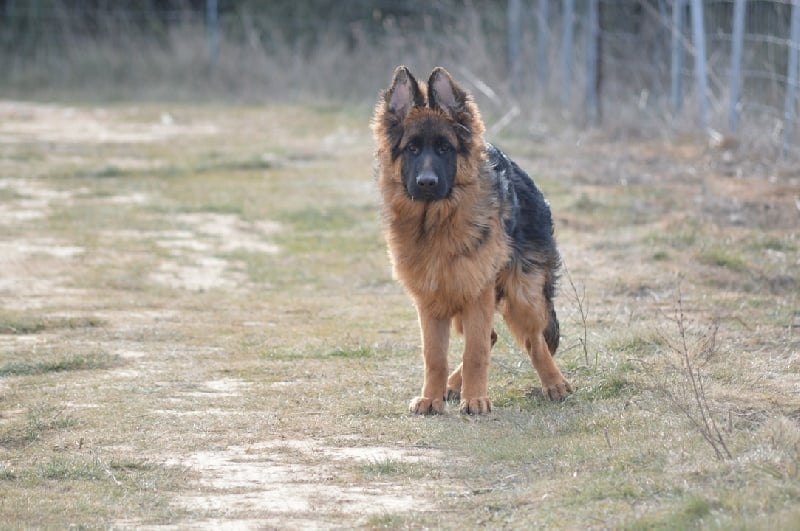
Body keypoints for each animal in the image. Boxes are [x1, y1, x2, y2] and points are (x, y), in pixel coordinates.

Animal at [372, 66, 572, 416]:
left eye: (444, 149)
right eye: (411, 149)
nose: (426, 183)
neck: (437, 223)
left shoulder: (478, 291)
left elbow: (475, 351)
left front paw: (476, 399)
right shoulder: (430, 299)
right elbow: (434, 356)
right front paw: (432, 397)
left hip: (522, 292)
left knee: (533, 338)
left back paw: (554, 383)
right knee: (492, 336)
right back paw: (453, 386)